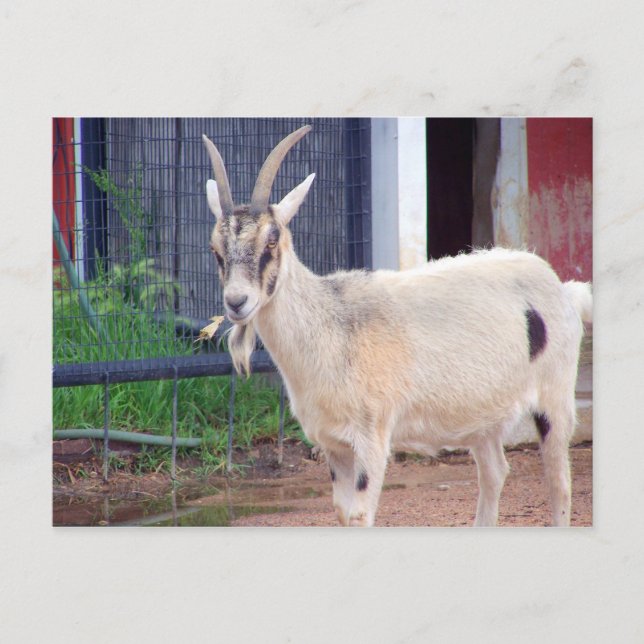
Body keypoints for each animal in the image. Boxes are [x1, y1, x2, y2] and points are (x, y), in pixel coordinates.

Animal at [202, 125, 592, 527]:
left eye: (272, 240)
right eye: (215, 249)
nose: (236, 302)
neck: (331, 324)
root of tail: (564, 289)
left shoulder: (372, 435)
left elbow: (360, 515)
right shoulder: (333, 443)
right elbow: (342, 511)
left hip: (555, 395)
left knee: (559, 481)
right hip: (481, 413)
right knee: (495, 471)